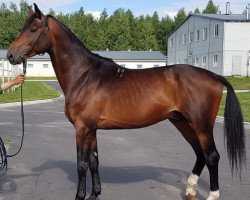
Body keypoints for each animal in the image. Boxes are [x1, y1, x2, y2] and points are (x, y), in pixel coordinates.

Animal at [6, 4, 246, 200]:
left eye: (33, 29)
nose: (10, 55)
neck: (84, 76)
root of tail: (213, 75)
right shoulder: (92, 128)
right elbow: (94, 161)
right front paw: (95, 194)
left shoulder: (82, 128)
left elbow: (81, 164)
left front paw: (80, 196)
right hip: (182, 122)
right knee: (199, 153)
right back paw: (190, 190)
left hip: (201, 124)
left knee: (211, 156)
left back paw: (212, 195)